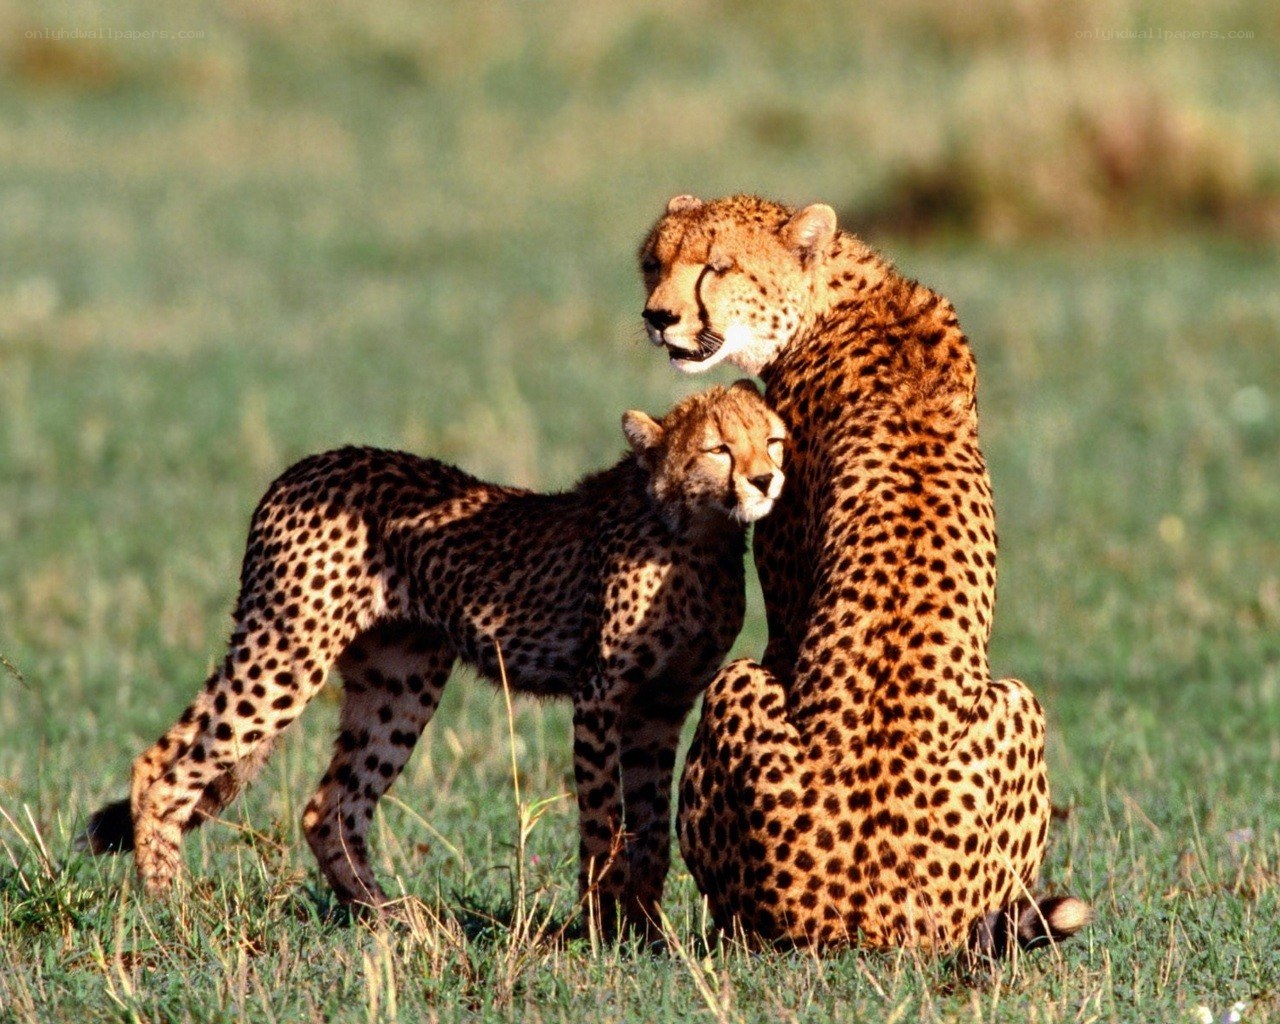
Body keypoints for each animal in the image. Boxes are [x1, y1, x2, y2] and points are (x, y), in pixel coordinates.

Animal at [81, 380, 786, 938]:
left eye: (774, 440)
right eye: (719, 448)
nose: (765, 479)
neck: (699, 534)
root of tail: (303, 467)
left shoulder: (662, 706)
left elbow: (651, 827)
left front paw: (646, 933)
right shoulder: (602, 697)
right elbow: (604, 821)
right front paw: (604, 929)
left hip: (398, 682)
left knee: (325, 805)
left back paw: (389, 918)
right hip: (289, 651)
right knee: (170, 772)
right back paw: (170, 907)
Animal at [637, 193, 1090, 953]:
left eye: (717, 266)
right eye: (654, 262)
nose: (658, 316)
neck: (845, 297)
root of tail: (861, 912)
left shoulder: (786, 613)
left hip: (750, 684)